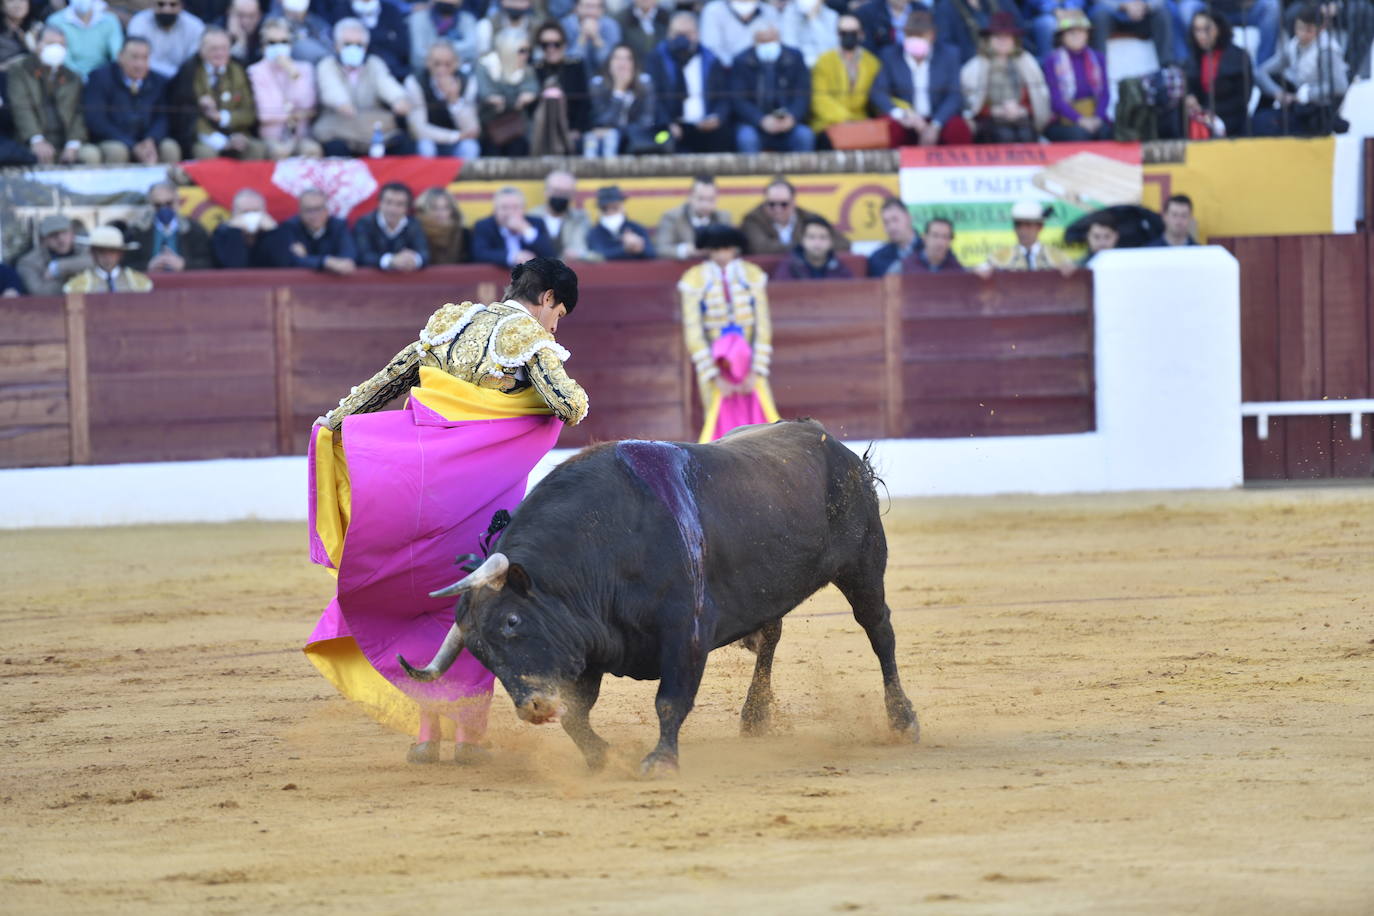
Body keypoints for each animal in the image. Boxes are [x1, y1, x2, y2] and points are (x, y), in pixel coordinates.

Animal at [392, 420, 917, 774]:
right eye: (480, 653)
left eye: (512, 622)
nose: (533, 707)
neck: (603, 546)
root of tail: (830, 441)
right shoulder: (590, 643)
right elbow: (576, 716)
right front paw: (604, 758)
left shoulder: (685, 633)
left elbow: (669, 701)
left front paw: (660, 761)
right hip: (771, 591)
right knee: (770, 636)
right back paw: (755, 719)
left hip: (864, 566)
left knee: (880, 634)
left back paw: (903, 720)